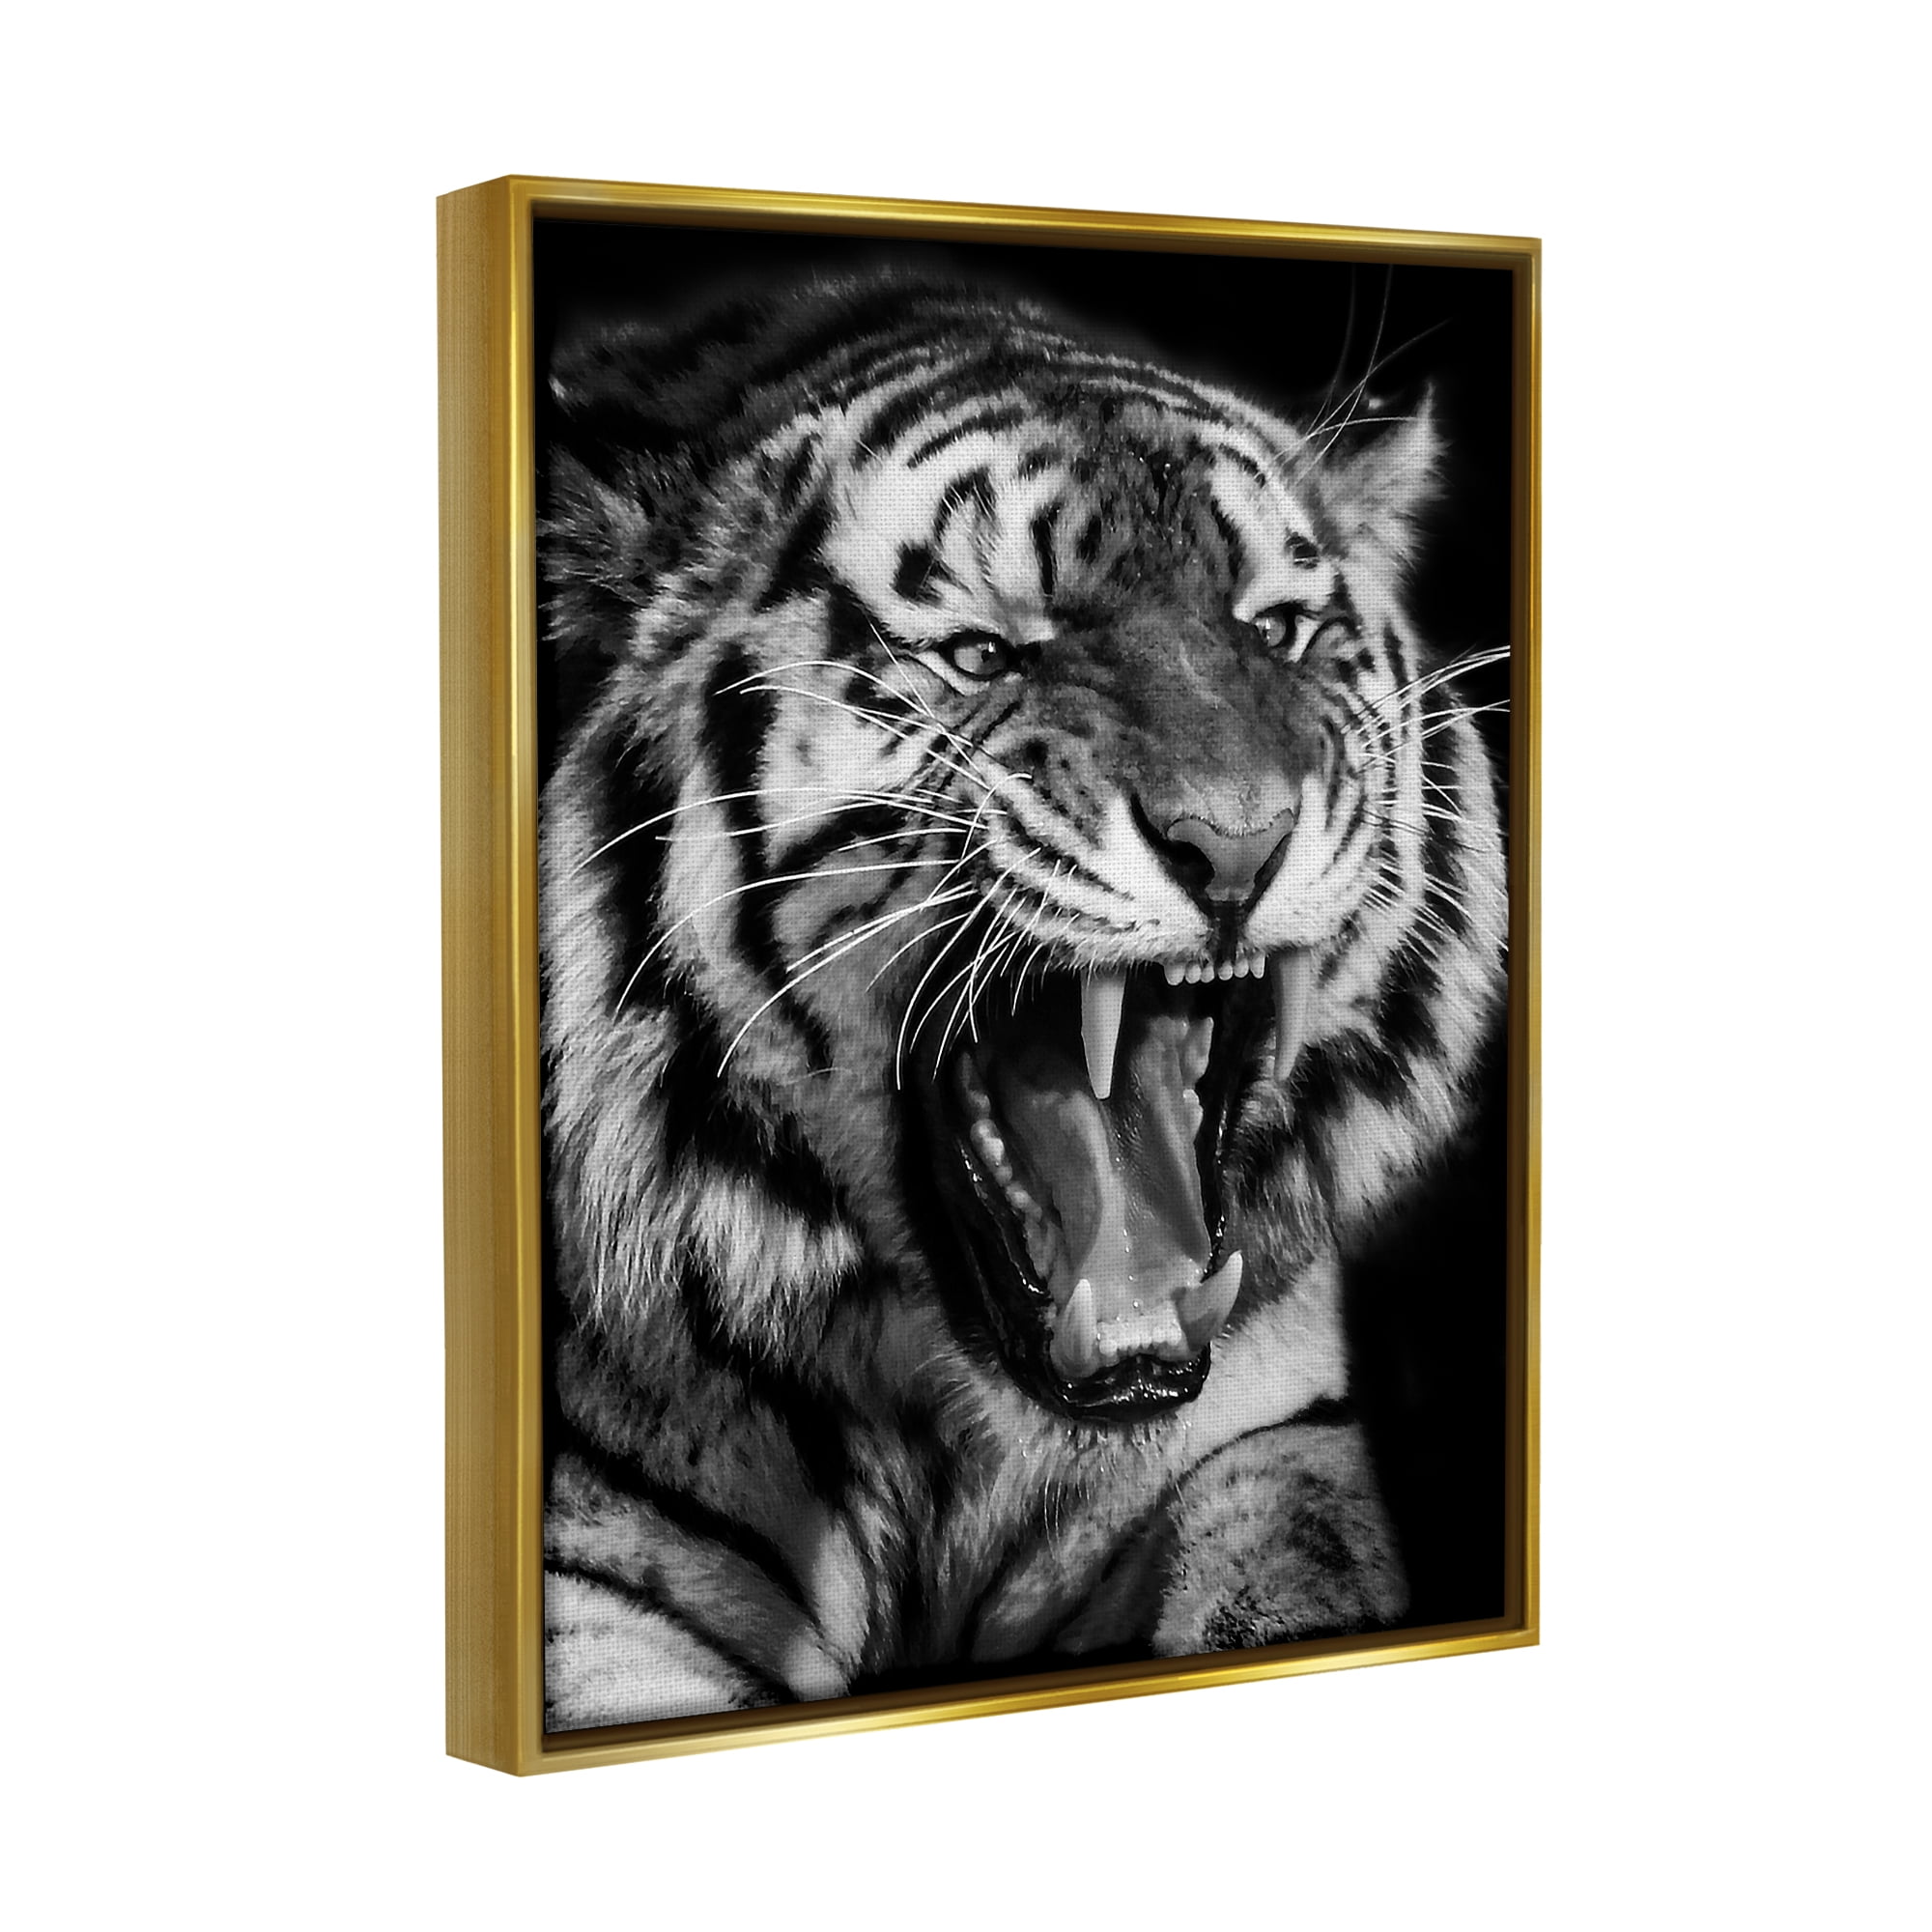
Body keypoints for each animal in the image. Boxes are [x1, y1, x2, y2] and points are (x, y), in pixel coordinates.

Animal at [537, 273, 1508, 1730]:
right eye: (985, 654)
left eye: (1276, 631)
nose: (1238, 844)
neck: (945, 1440)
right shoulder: (593, 1572)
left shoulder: (1263, 1440)